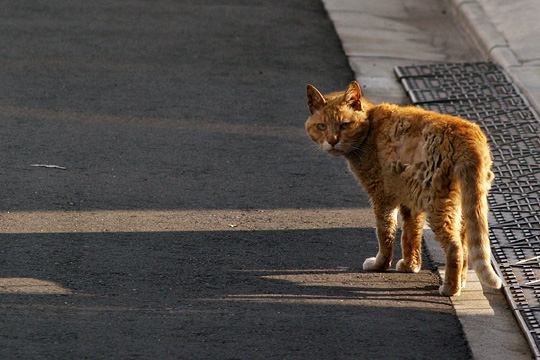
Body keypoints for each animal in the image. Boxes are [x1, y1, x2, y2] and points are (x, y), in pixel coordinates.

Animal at [304, 81, 502, 296]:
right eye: (322, 126)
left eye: (344, 125)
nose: (332, 141)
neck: (369, 130)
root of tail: (467, 132)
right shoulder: (410, 201)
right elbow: (410, 234)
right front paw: (410, 265)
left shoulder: (381, 197)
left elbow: (385, 233)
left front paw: (380, 265)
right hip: (461, 205)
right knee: (465, 245)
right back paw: (462, 281)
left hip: (438, 206)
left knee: (455, 246)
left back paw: (450, 288)